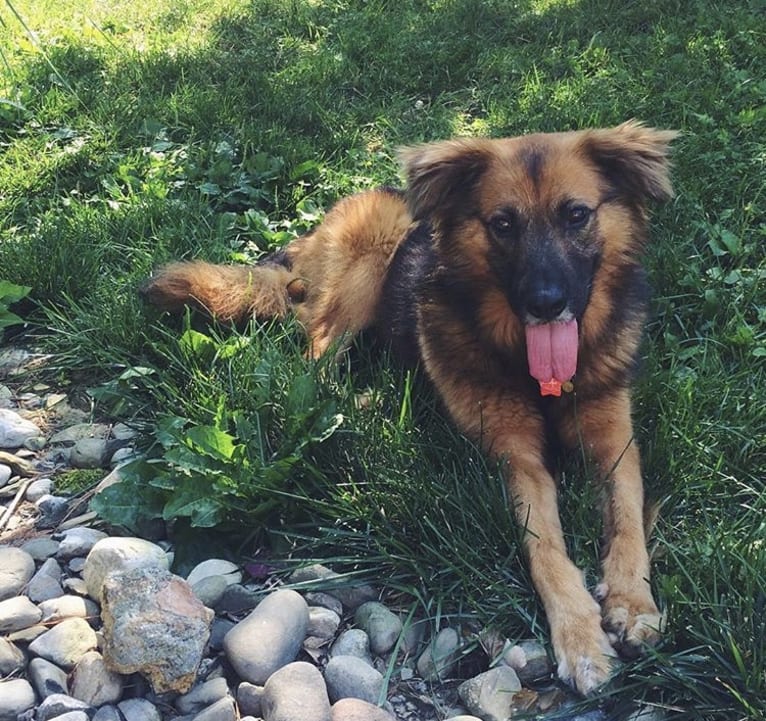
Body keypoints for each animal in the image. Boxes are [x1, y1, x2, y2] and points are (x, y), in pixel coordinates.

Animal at [144, 121, 680, 696]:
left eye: (576, 215)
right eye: (503, 224)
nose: (545, 303)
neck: (535, 371)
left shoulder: (615, 439)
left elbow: (627, 516)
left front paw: (633, 603)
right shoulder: (516, 457)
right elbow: (547, 551)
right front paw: (580, 638)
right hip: (367, 265)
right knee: (314, 355)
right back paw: (363, 402)